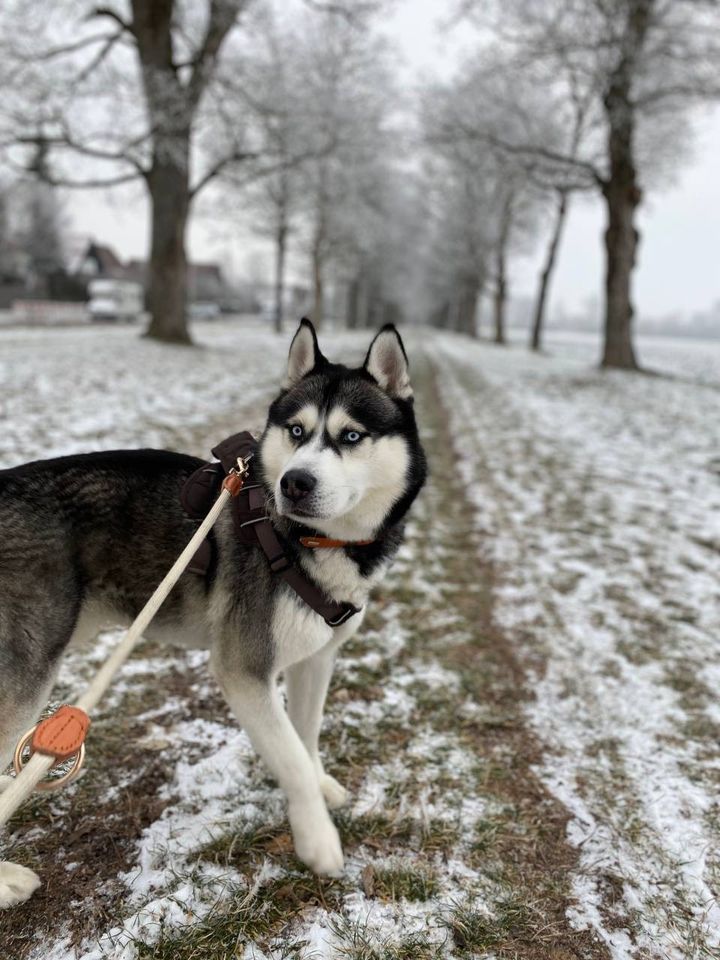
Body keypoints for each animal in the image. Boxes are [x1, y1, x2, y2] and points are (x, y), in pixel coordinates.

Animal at [0, 320, 428, 908]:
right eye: (297, 431)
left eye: (351, 437)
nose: (295, 482)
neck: (309, 541)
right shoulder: (242, 669)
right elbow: (289, 755)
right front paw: (317, 840)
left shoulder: (315, 657)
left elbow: (306, 734)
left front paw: (320, 788)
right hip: (27, 674)